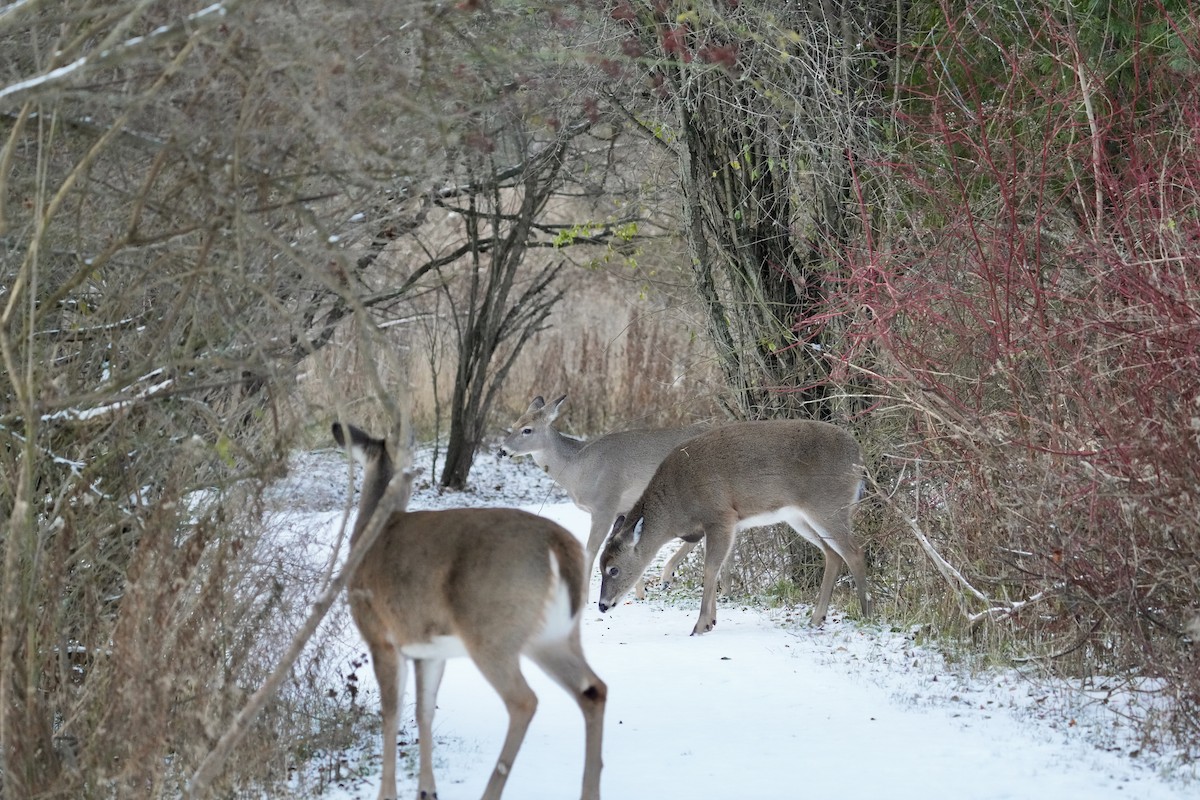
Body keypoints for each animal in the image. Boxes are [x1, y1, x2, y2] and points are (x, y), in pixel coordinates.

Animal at [332, 422, 606, 800]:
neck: (372, 531)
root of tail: (559, 546)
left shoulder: (380, 636)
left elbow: (391, 713)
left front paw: (387, 793)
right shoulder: (429, 648)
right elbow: (424, 711)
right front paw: (427, 790)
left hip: (490, 632)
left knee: (524, 701)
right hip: (554, 635)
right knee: (594, 689)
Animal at [499, 394, 707, 595]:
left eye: (527, 430)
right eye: (514, 425)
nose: (502, 450)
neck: (577, 468)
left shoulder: (605, 506)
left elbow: (590, 550)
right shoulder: (621, 510)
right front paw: (640, 592)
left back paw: (667, 577)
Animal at [597, 419, 870, 636]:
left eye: (613, 569)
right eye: (601, 567)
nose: (602, 605)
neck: (676, 502)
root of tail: (859, 456)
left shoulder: (721, 515)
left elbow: (710, 569)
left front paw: (700, 625)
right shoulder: (720, 524)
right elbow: (716, 568)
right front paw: (712, 621)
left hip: (827, 506)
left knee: (854, 552)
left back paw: (867, 612)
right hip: (799, 517)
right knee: (833, 554)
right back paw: (817, 618)